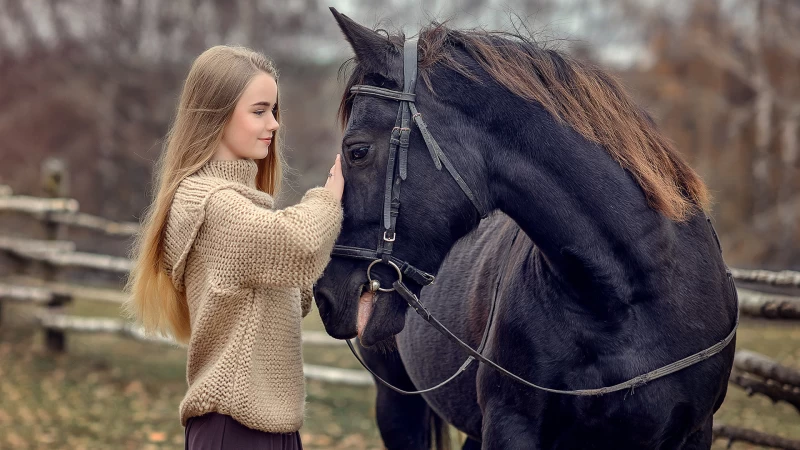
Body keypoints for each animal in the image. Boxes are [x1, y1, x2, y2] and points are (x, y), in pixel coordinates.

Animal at [312, 8, 736, 448]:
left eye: (357, 151)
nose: (324, 296)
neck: (630, 295)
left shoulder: (694, 431)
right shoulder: (510, 426)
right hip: (397, 404)